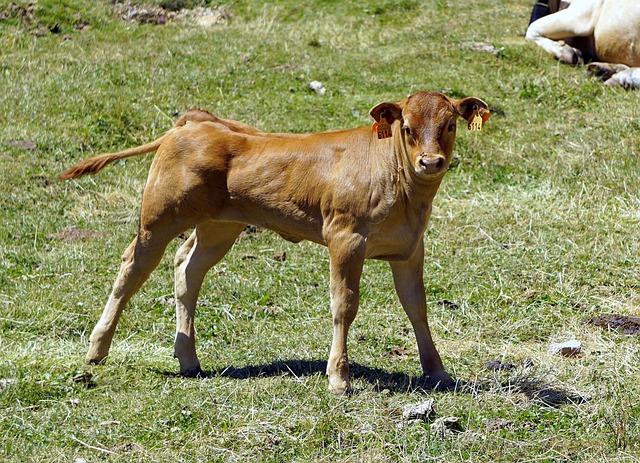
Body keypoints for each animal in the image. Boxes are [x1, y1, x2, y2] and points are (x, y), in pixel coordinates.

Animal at [59, 91, 489, 394]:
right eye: (408, 129)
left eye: (450, 126)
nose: (430, 162)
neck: (402, 188)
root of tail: (196, 122)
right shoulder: (345, 238)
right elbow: (344, 305)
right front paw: (339, 377)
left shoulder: (410, 248)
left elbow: (417, 307)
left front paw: (437, 370)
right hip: (159, 218)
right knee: (131, 268)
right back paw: (97, 350)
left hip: (220, 226)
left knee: (187, 267)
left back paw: (188, 359)